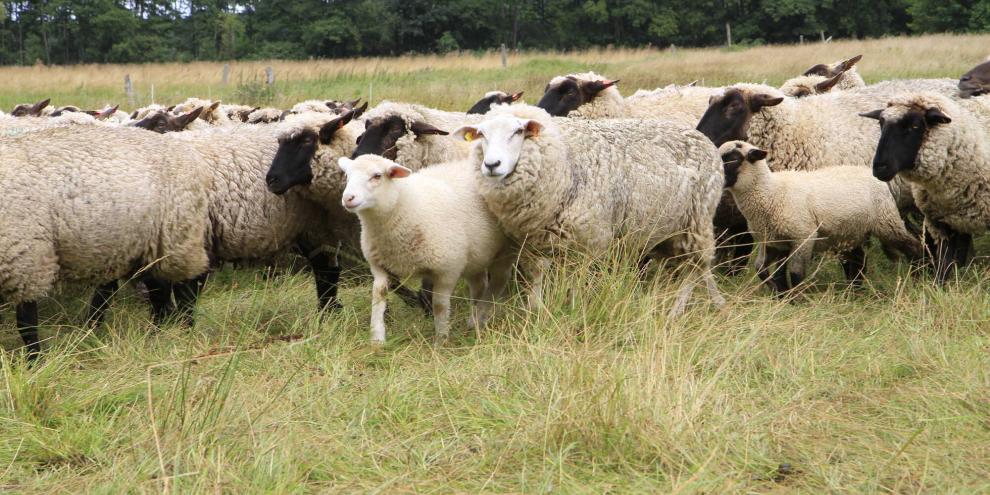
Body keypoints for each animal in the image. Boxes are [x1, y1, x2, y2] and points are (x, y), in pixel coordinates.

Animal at [0, 125, 211, 357]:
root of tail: (184, 150)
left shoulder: (26, 263)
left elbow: (26, 324)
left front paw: (35, 360)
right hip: (147, 249)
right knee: (160, 294)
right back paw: (154, 336)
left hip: (179, 235)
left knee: (188, 287)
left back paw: (185, 333)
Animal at [337, 155, 515, 343]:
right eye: (347, 175)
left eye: (377, 176)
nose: (348, 198)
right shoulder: (379, 265)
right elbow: (378, 296)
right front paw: (377, 339)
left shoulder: (448, 269)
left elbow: (439, 305)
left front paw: (441, 339)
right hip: (476, 255)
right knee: (479, 284)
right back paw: (473, 318)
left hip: (505, 250)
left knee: (499, 281)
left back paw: (481, 316)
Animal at [454, 104, 725, 315]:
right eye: (481, 134)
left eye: (518, 131)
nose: (492, 165)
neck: (564, 161)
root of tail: (700, 136)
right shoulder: (532, 242)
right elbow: (535, 278)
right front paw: (536, 312)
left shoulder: (587, 241)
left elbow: (575, 282)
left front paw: (573, 309)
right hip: (670, 229)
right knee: (698, 267)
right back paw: (717, 300)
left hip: (698, 219)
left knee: (695, 266)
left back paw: (677, 309)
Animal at [719, 140, 921, 293]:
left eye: (733, 159)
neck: (770, 192)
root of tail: (872, 175)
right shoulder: (773, 241)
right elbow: (763, 270)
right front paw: (781, 294)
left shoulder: (804, 236)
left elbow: (795, 274)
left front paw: (796, 299)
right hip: (850, 230)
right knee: (857, 260)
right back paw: (854, 291)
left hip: (886, 222)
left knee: (912, 246)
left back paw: (918, 277)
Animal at [861, 92, 990, 282]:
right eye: (881, 124)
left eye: (915, 125)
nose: (879, 167)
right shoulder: (942, 223)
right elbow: (944, 264)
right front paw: (940, 285)